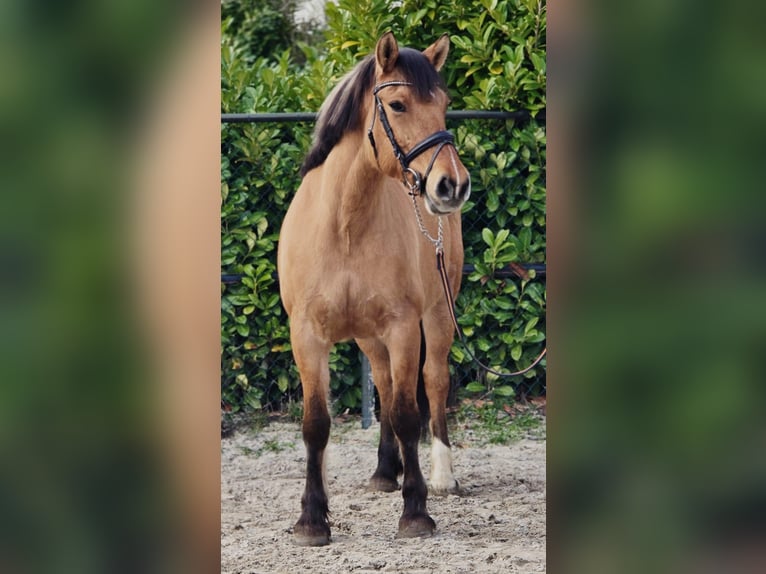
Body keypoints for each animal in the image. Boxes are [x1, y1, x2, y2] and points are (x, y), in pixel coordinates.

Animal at [277, 31, 471, 546]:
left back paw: (442, 475)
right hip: (368, 335)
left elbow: (406, 412)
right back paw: (387, 471)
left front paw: (416, 511)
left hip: (437, 315)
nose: (452, 185)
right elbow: (316, 424)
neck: (344, 224)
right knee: (383, 383)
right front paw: (311, 519)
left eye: (444, 104)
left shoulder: (403, 328)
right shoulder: (307, 336)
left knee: (434, 381)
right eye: (398, 105)